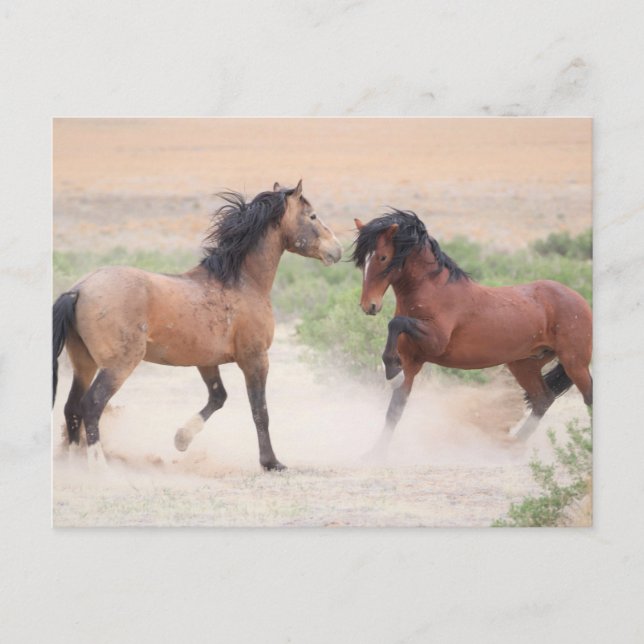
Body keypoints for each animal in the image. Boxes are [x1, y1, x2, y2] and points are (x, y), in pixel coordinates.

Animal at [52, 181, 342, 471]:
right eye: (313, 216)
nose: (337, 250)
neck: (243, 282)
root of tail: (79, 290)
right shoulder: (255, 358)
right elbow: (260, 411)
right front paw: (271, 463)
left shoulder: (206, 361)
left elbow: (218, 397)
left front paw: (181, 439)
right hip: (117, 366)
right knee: (92, 405)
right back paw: (99, 466)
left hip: (84, 364)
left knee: (72, 407)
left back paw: (72, 463)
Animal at [352, 209, 592, 455]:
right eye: (362, 261)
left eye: (382, 257)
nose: (369, 306)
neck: (433, 292)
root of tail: (579, 298)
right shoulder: (411, 361)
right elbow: (395, 409)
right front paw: (375, 453)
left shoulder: (435, 340)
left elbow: (396, 323)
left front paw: (391, 370)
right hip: (524, 365)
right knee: (543, 399)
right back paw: (512, 447)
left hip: (574, 363)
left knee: (588, 398)